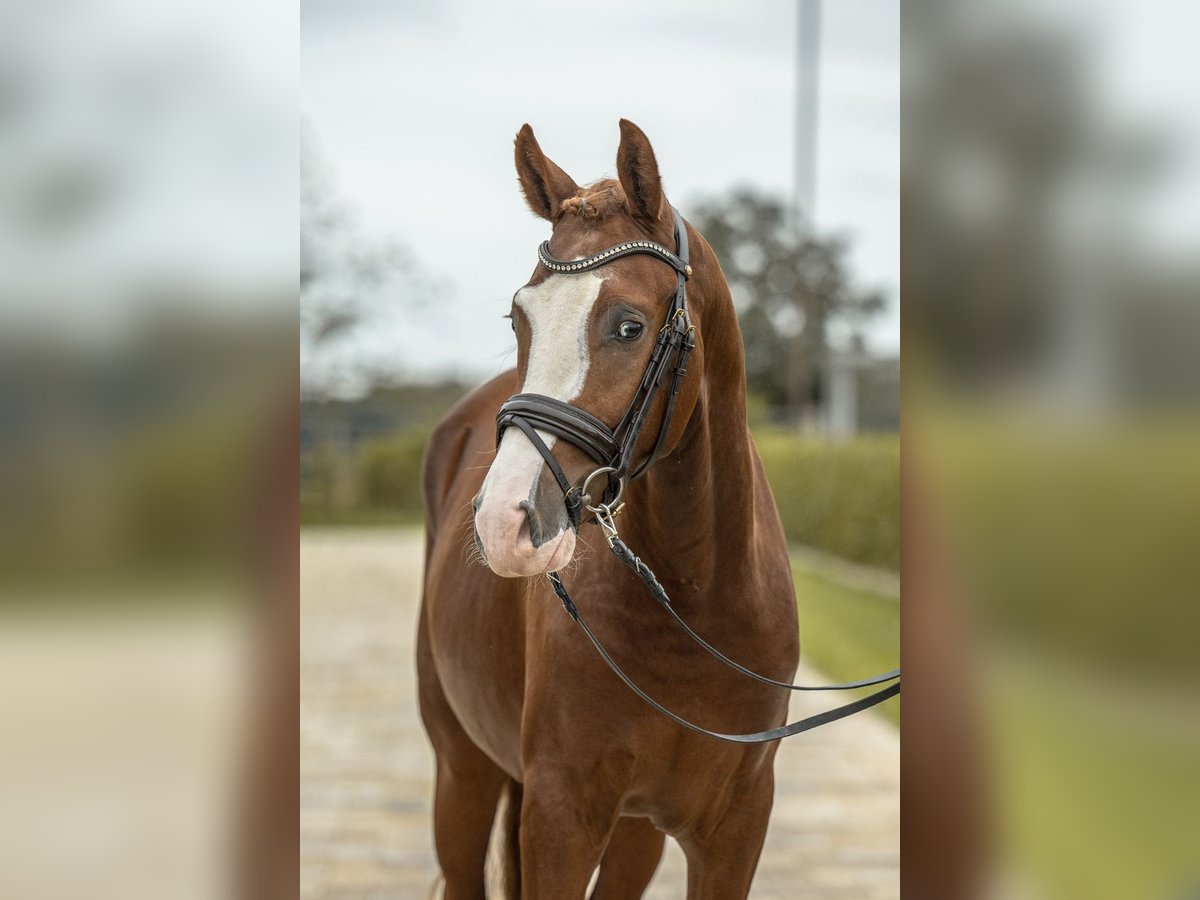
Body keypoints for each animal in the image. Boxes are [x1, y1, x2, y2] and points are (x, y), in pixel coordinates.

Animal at [417, 121, 801, 900]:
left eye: (629, 326)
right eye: (518, 317)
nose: (503, 522)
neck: (696, 603)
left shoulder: (736, 826)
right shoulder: (560, 816)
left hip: (634, 831)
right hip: (462, 770)